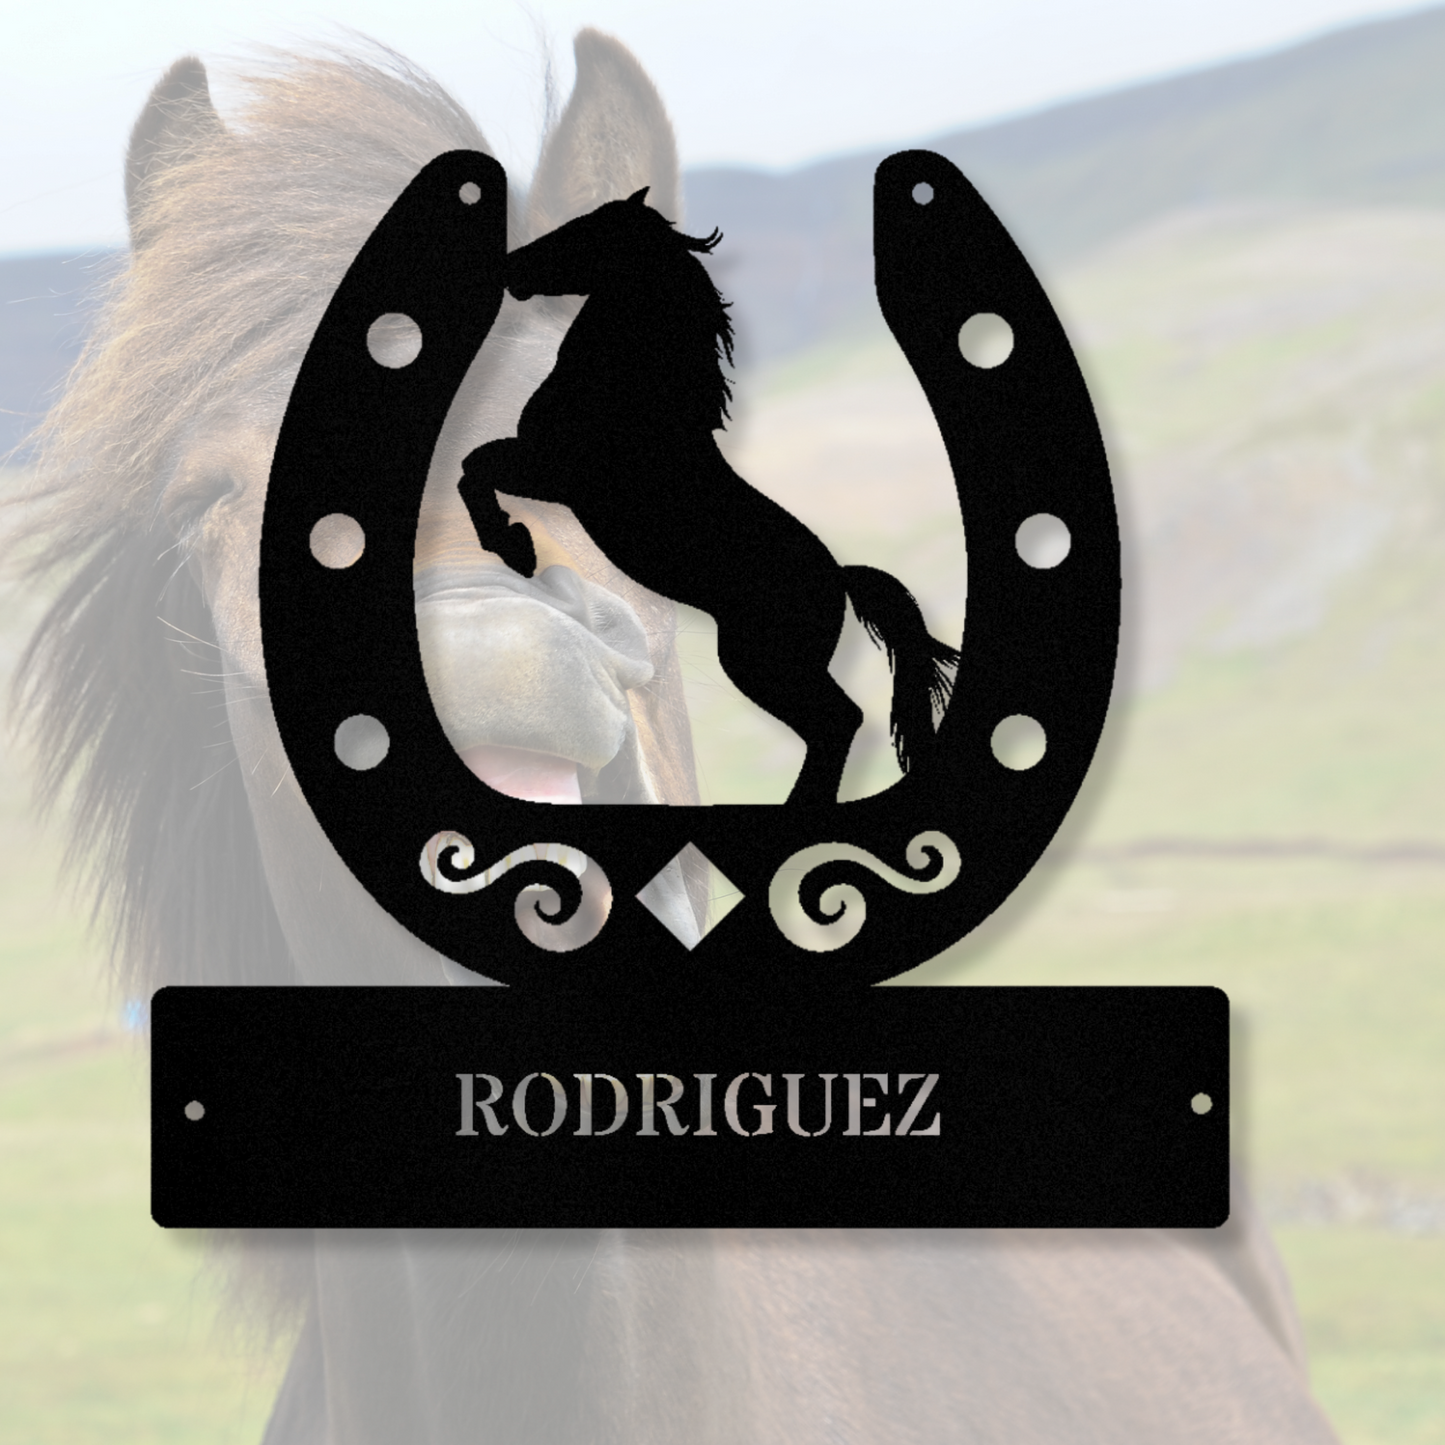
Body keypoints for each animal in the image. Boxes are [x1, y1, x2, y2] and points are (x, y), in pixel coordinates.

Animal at [460, 190, 960, 806]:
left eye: (585, 232)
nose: (511, 269)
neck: (627, 391)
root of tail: (839, 577)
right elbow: (473, 468)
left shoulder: (548, 473)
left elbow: (474, 469)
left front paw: (514, 546)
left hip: (761, 662)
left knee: (839, 719)